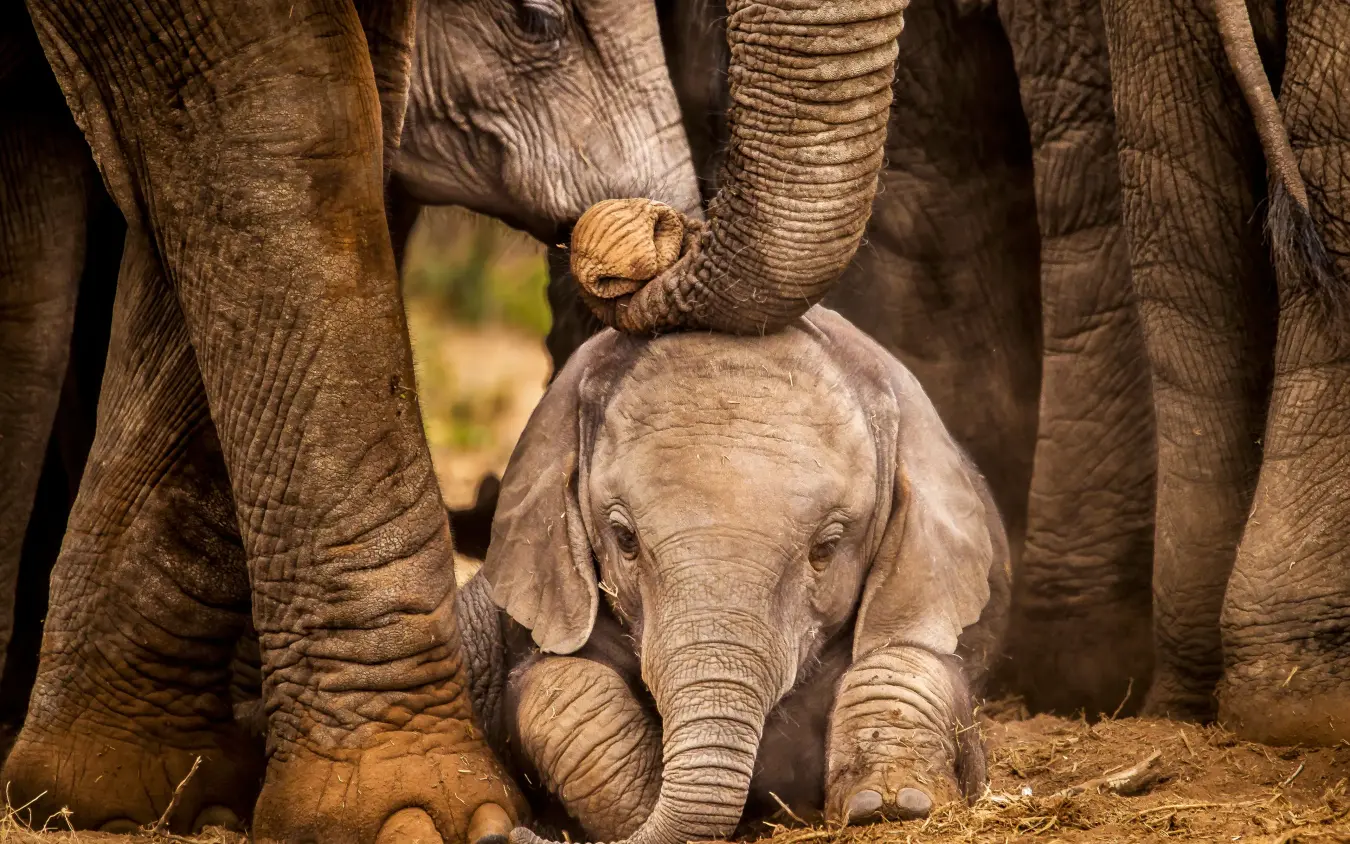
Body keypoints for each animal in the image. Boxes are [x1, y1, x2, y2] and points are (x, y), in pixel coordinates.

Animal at [461, 303, 1008, 844]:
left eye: (826, 547)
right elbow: (562, 683)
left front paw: (888, 806)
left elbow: (907, 659)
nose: (503, 835)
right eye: (625, 538)